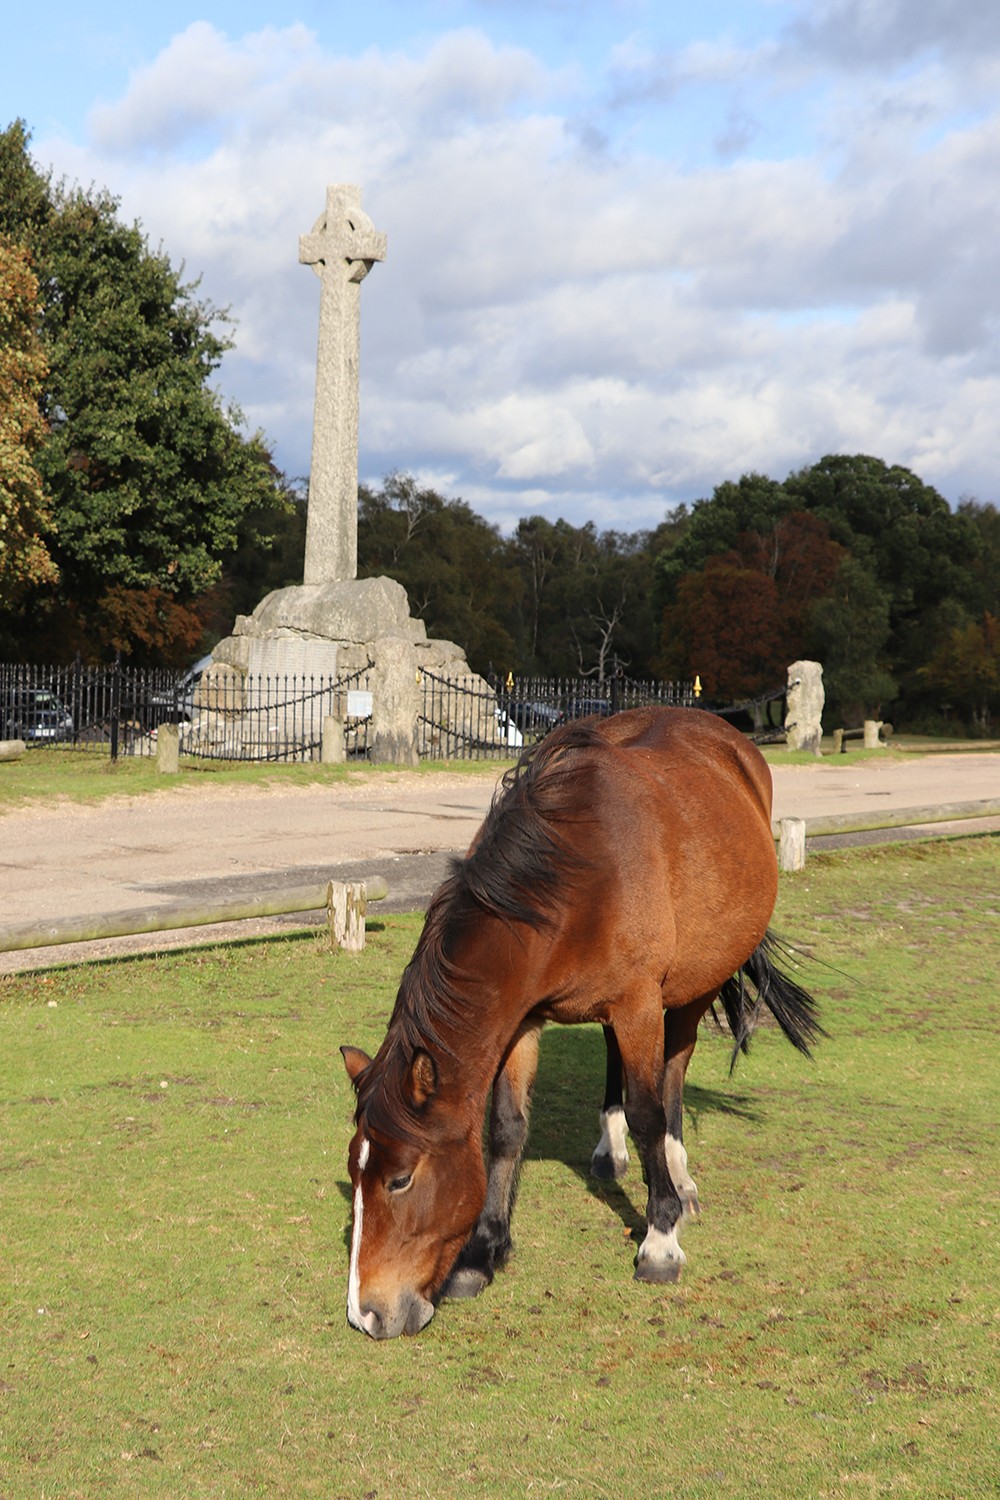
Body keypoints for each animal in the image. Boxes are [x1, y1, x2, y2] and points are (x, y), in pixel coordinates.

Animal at [340, 706, 823, 1339]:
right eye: (355, 1174)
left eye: (400, 1179)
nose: (367, 1313)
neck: (577, 880)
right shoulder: (522, 1020)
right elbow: (506, 1128)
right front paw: (481, 1255)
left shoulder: (640, 1004)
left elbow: (648, 1112)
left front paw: (660, 1239)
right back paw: (609, 1150)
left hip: (693, 986)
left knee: (673, 1070)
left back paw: (678, 1176)